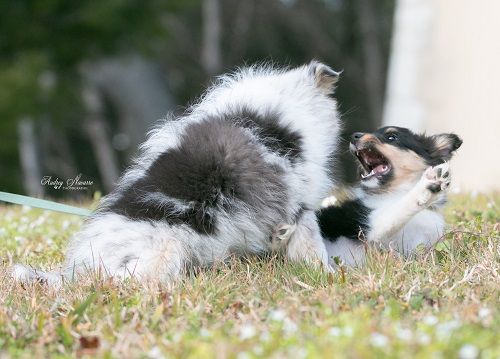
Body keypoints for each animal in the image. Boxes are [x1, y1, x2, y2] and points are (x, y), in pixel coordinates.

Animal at [14, 62, 344, 286]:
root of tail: (77, 270)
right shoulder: (299, 204)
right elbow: (312, 246)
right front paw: (326, 274)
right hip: (167, 244)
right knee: (130, 279)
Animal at [318, 127, 462, 268]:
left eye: (391, 137)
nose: (354, 136)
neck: (395, 192)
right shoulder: (372, 229)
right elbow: (399, 209)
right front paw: (428, 184)